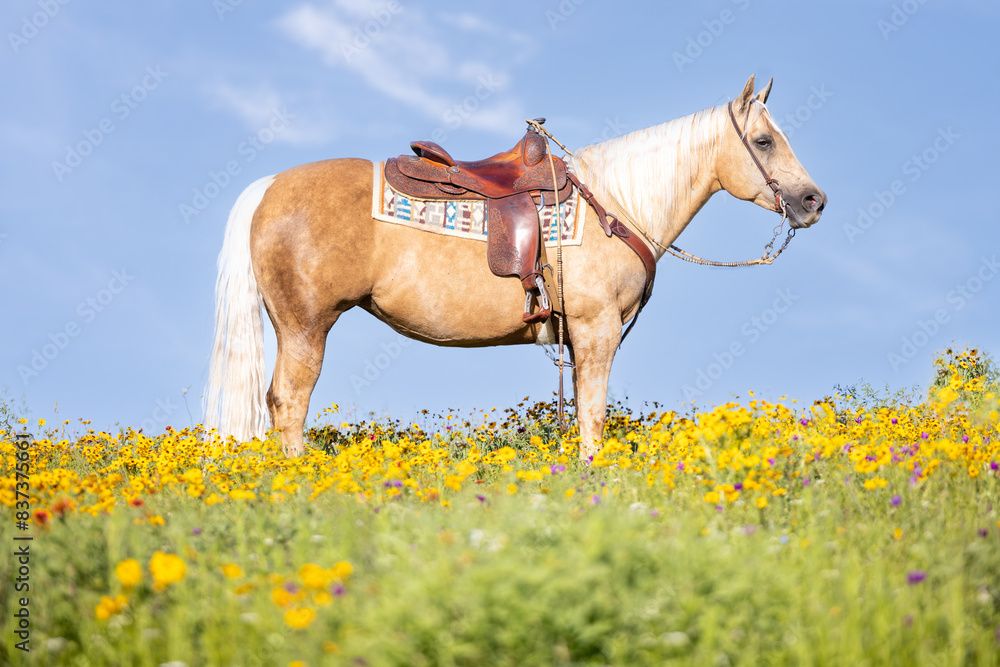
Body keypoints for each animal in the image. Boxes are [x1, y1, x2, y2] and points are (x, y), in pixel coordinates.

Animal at [203, 75, 827, 459]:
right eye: (764, 141)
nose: (813, 201)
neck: (615, 204)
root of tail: (269, 187)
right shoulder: (596, 330)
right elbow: (593, 416)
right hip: (306, 326)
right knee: (288, 402)